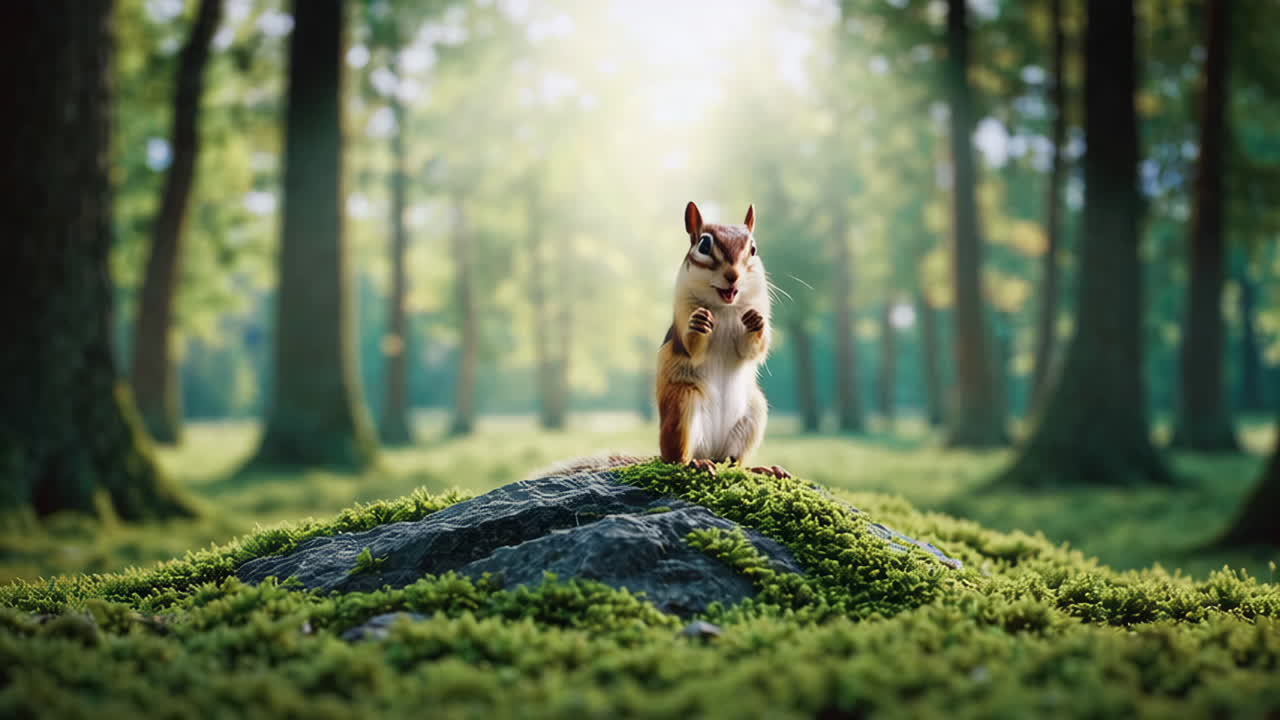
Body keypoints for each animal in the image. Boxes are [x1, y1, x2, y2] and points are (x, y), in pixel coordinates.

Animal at [655, 201, 790, 479]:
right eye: (704, 245)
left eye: (753, 249)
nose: (733, 275)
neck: (725, 307)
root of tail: (711, 451)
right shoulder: (682, 311)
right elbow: (691, 347)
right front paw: (698, 324)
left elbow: (753, 350)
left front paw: (756, 323)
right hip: (682, 404)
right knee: (675, 458)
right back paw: (695, 463)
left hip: (755, 411)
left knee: (733, 461)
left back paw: (760, 469)